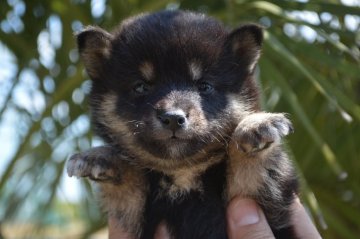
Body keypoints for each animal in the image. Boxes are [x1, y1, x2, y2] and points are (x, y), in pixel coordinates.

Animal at [67, 9, 298, 239]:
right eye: (140, 87)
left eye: (204, 86)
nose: (173, 118)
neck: (183, 171)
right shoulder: (133, 215)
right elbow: (131, 183)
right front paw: (100, 156)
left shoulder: (256, 197)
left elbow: (248, 168)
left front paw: (254, 125)